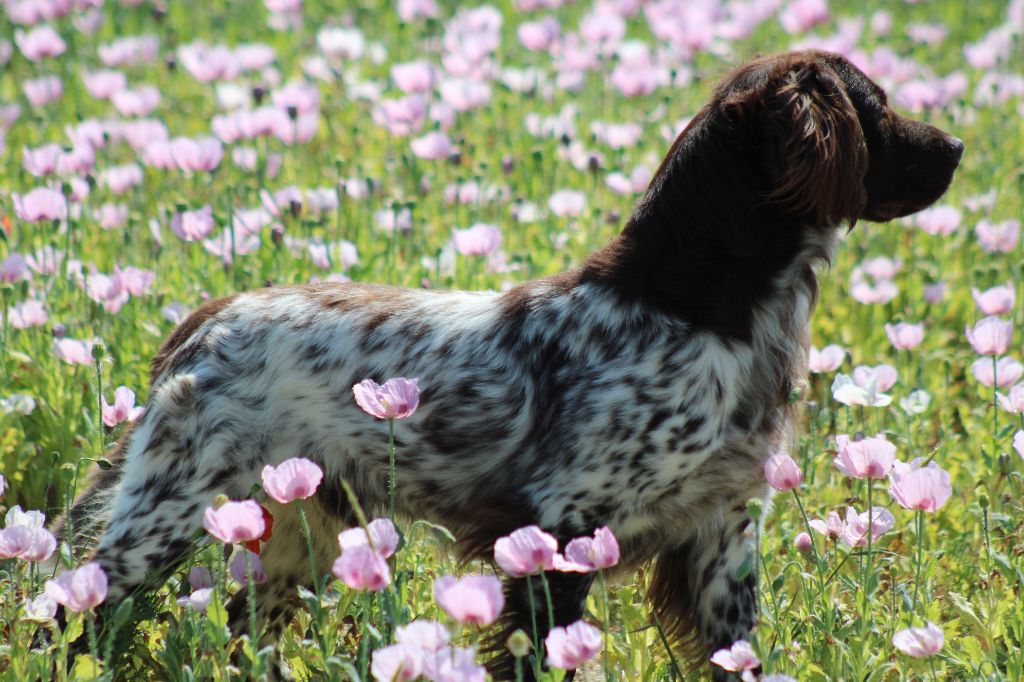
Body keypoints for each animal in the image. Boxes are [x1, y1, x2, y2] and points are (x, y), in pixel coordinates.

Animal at [59, 50, 962, 680]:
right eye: (876, 106)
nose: (958, 144)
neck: (702, 309)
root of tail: (207, 319)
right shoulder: (560, 531)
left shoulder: (722, 541)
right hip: (162, 519)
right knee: (70, 610)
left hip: (293, 536)